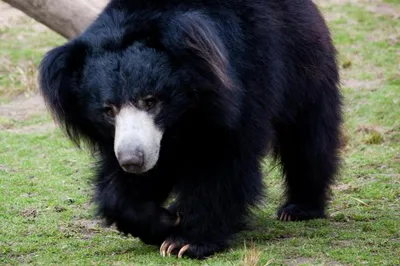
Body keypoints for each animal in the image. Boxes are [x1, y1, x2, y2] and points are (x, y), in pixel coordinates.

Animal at [39, 0, 342, 258]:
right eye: (109, 110)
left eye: (151, 101)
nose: (132, 160)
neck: (184, 115)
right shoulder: (146, 140)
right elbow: (123, 187)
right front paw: (164, 221)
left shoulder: (241, 82)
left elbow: (223, 161)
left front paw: (185, 242)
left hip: (304, 67)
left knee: (307, 139)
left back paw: (299, 208)